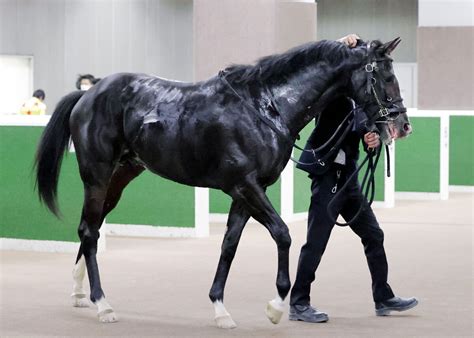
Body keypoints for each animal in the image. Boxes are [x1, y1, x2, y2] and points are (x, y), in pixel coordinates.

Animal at [34, 37, 412, 328]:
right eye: (385, 77)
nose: (402, 125)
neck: (266, 106)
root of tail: (88, 95)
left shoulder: (244, 193)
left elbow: (229, 245)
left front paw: (220, 310)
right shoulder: (245, 186)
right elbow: (283, 234)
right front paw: (276, 307)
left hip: (122, 175)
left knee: (91, 226)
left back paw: (80, 293)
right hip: (96, 175)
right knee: (89, 230)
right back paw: (103, 304)